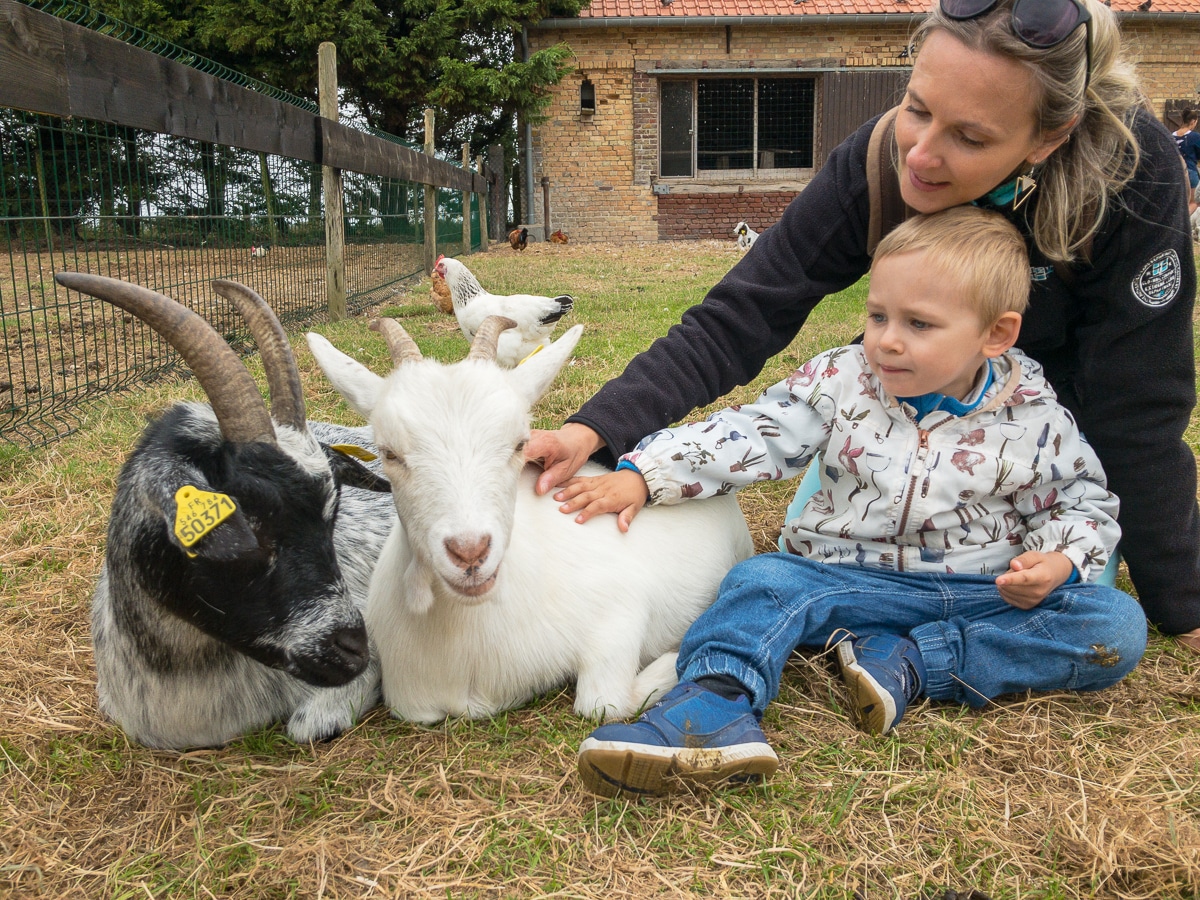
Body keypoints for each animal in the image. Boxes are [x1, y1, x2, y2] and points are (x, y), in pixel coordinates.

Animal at [307, 316, 748, 724]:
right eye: (389, 453)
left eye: (519, 443)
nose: (470, 552)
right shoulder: (411, 701)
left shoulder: (621, 609)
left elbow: (601, 703)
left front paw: (678, 654)